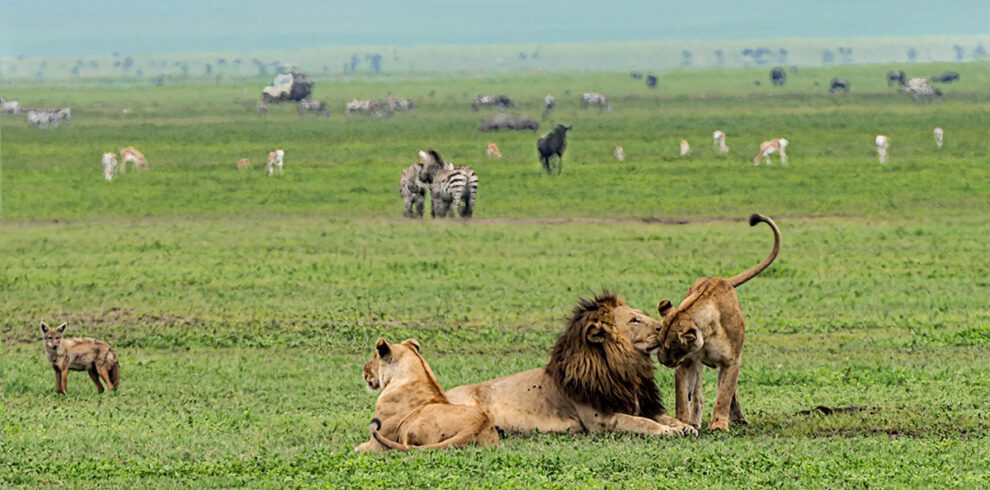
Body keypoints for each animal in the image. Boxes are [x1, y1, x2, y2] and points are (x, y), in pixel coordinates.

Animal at [356, 336, 500, 452]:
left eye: (374, 357)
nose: (364, 371)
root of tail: (476, 426)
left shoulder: (376, 445)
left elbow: (357, 448)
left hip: (412, 427)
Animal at [448, 292, 696, 438]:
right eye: (634, 320)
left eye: (640, 315)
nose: (663, 329)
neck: (627, 369)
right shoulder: (601, 421)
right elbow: (642, 422)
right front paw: (667, 431)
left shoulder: (644, 404)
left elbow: (663, 416)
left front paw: (684, 426)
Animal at [660, 212, 784, 430]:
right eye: (659, 342)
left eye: (671, 347)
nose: (662, 360)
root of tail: (722, 279)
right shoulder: (686, 363)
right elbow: (682, 397)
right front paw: (683, 422)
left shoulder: (731, 361)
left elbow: (724, 394)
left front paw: (718, 425)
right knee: (697, 394)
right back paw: (695, 420)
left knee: (730, 391)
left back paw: (737, 418)